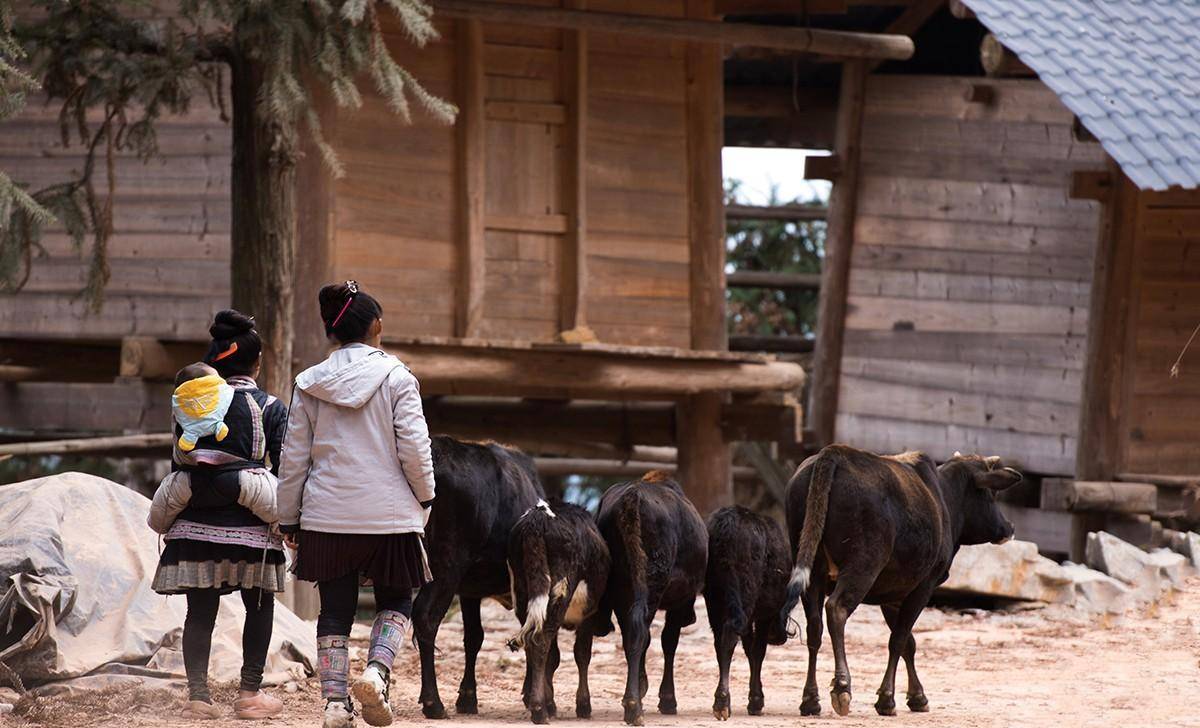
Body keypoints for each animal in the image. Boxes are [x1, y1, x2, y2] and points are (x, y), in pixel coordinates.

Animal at [412, 436, 544, 719]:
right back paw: (433, 702)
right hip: (446, 567)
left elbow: (474, 636)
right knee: (426, 617)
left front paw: (467, 696)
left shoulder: (469, 591)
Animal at [508, 501, 614, 724]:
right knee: (539, 643)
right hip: (560, 593)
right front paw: (583, 705)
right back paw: (539, 710)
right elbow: (582, 654)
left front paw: (551, 703)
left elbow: (554, 657)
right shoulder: (588, 615)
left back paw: (540, 705)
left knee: (533, 643)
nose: (607, 628)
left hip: (523, 596)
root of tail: (538, 518)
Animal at [592, 470, 705, 724]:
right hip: (652, 584)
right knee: (640, 630)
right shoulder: (679, 603)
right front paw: (668, 699)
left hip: (623, 588)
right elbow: (669, 642)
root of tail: (632, 498)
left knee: (632, 634)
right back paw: (633, 706)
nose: (691, 617)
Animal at [700, 506, 787, 724]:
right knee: (731, 635)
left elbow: (748, 649)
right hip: (744, 596)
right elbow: (758, 651)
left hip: (714, 600)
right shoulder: (764, 615)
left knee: (720, 642)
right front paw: (756, 700)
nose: (779, 637)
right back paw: (722, 702)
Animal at [777, 443, 1022, 719]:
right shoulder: (923, 587)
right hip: (863, 566)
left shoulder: (892, 596)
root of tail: (833, 452)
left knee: (814, 628)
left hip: (812, 571)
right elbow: (899, 640)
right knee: (837, 610)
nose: (1009, 527)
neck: (944, 498)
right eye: (991, 494)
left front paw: (917, 696)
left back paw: (810, 699)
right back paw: (842, 686)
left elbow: (909, 644)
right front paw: (887, 698)